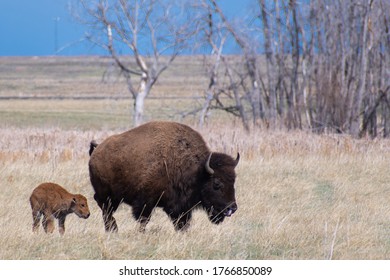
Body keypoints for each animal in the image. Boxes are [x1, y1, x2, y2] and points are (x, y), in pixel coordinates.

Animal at [88, 120, 239, 232]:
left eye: (233, 182)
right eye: (216, 184)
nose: (232, 208)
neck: (197, 171)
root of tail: (97, 150)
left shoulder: (180, 206)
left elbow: (182, 223)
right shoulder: (145, 202)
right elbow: (143, 220)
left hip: (114, 197)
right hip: (107, 194)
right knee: (105, 208)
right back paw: (112, 228)